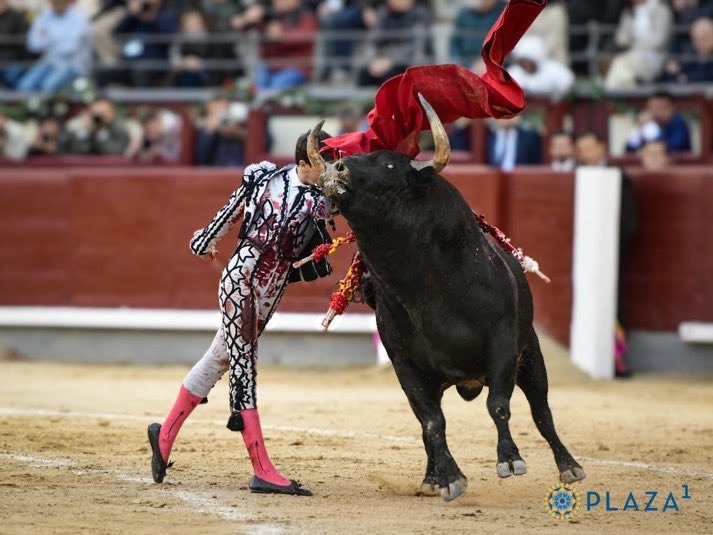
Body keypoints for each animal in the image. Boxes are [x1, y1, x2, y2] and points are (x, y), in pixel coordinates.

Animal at [306, 98, 584, 504]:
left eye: (390, 165)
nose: (333, 169)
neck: (427, 289)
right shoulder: (404, 363)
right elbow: (432, 422)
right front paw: (449, 479)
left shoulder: (502, 342)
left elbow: (499, 405)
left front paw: (510, 460)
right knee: (430, 422)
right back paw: (431, 477)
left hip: (530, 354)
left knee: (541, 410)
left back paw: (569, 466)